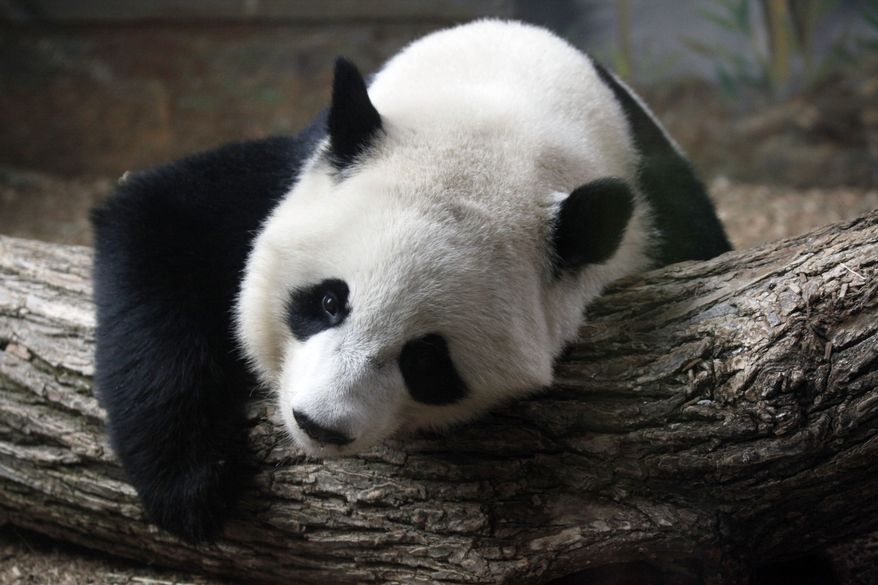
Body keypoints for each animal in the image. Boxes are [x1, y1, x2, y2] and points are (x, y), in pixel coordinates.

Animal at [91, 19, 730, 541]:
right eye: (329, 301)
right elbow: (155, 219)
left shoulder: (658, 223)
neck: (498, 107)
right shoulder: (296, 170)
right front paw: (192, 487)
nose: (318, 424)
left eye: (426, 359)